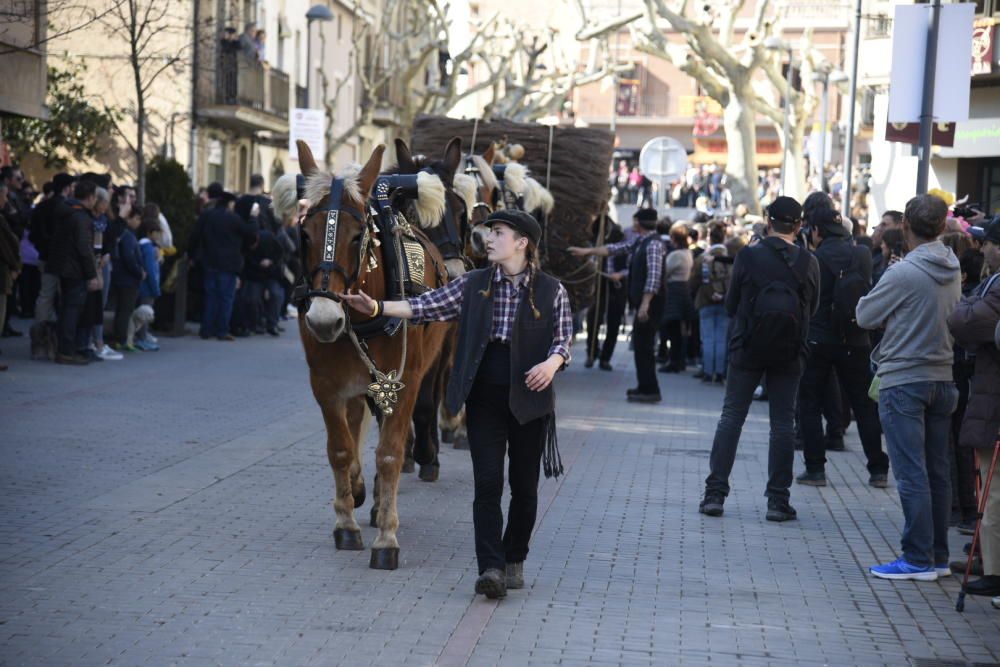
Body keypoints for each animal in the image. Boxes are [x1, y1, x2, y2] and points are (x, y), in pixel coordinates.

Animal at [290, 140, 446, 568]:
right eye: (304, 233)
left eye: (359, 234)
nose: (324, 319)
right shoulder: (326, 385)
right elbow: (341, 448)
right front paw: (346, 522)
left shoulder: (401, 385)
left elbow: (391, 453)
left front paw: (386, 538)